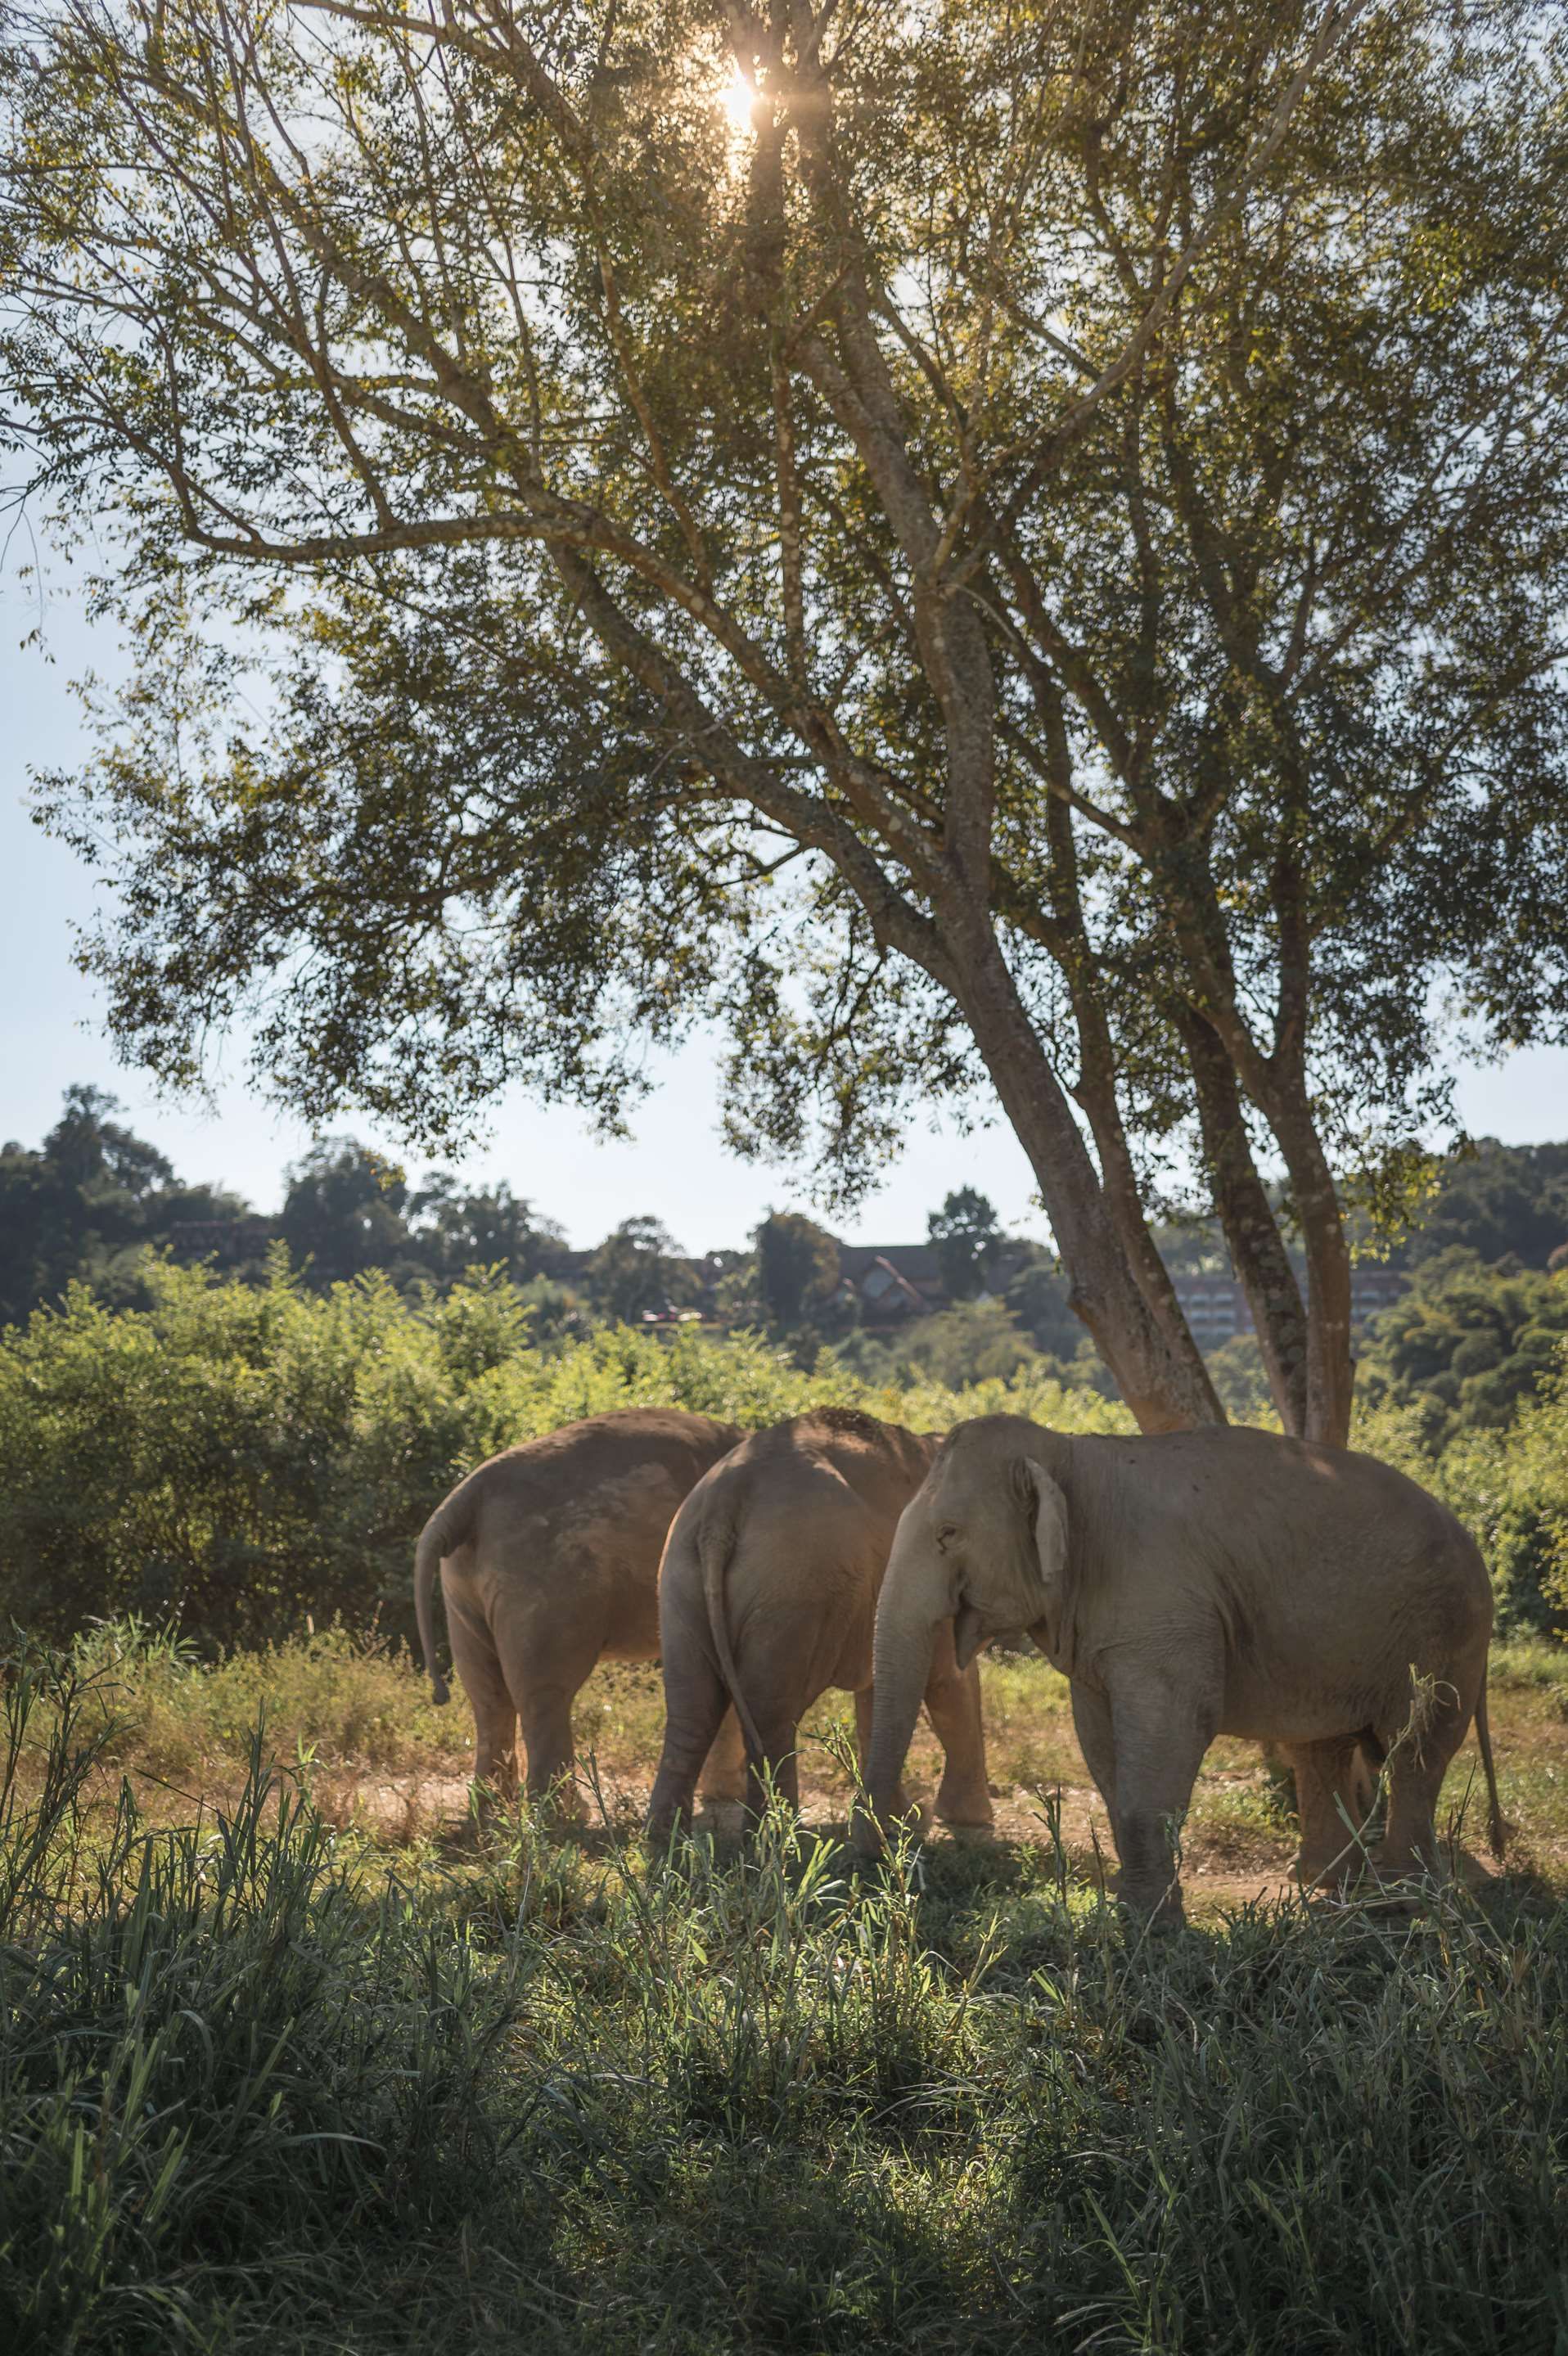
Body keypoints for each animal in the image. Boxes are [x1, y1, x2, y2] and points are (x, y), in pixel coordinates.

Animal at [414, 1407, 747, 1810]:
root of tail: (465, 1498)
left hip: (465, 1583)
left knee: (487, 1693)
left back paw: (491, 1811)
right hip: (548, 1580)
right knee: (545, 1694)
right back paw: (565, 1815)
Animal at [647, 1406, 994, 1843]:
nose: (921, 1811)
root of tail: (722, 1504)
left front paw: (901, 1818)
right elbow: (949, 1680)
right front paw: (967, 1821)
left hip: (680, 1575)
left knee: (691, 1710)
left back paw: (664, 1840)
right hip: (793, 1587)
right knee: (770, 1715)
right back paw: (777, 1836)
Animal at [855, 1413, 1504, 1921]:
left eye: (948, 1533)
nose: (882, 1861)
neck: (1069, 1453)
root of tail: (1471, 1537)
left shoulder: (1163, 1606)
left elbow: (1176, 1722)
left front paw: (1149, 1932)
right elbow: (1099, 1738)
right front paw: (1133, 1915)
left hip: (1444, 1628)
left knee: (1416, 1748)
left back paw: (1405, 1904)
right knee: (1324, 1749)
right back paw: (1325, 1886)